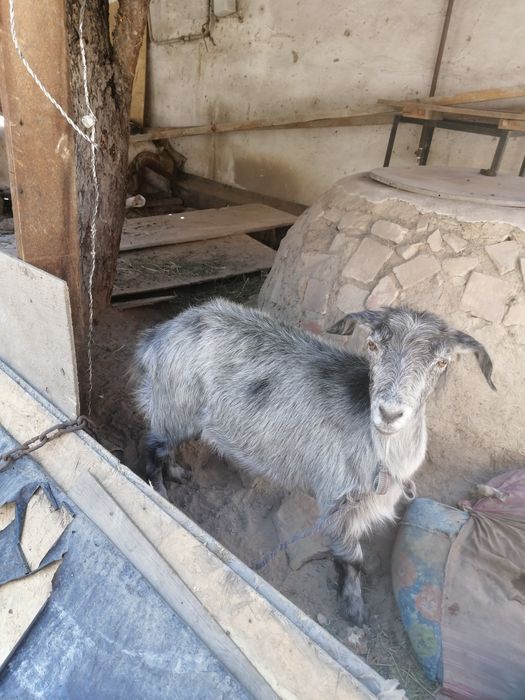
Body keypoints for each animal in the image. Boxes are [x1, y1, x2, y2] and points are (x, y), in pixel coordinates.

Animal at [133, 299, 495, 625]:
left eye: (442, 363)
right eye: (372, 345)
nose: (390, 413)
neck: (381, 455)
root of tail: (162, 334)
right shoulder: (335, 501)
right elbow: (352, 559)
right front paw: (354, 611)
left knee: (166, 448)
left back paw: (178, 473)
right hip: (175, 406)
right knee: (154, 449)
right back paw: (159, 491)